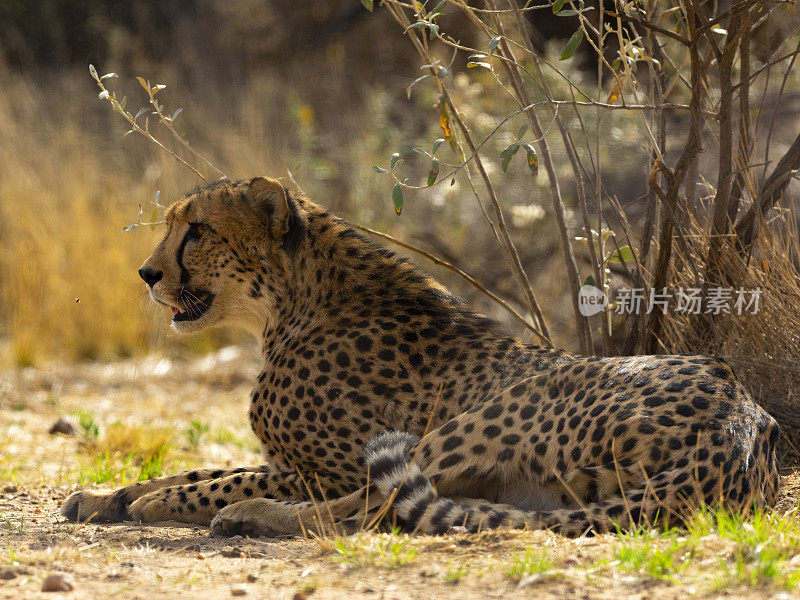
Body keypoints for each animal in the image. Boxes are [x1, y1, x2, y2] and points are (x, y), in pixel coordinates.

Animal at [62, 177, 780, 536]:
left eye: (198, 230)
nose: (147, 274)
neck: (290, 302)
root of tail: (740, 423)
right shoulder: (292, 461)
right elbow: (201, 469)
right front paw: (108, 498)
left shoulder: (328, 468)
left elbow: (225, 480)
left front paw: (156, 503)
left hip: (495, 411)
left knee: (371, 510)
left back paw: (252, 519)